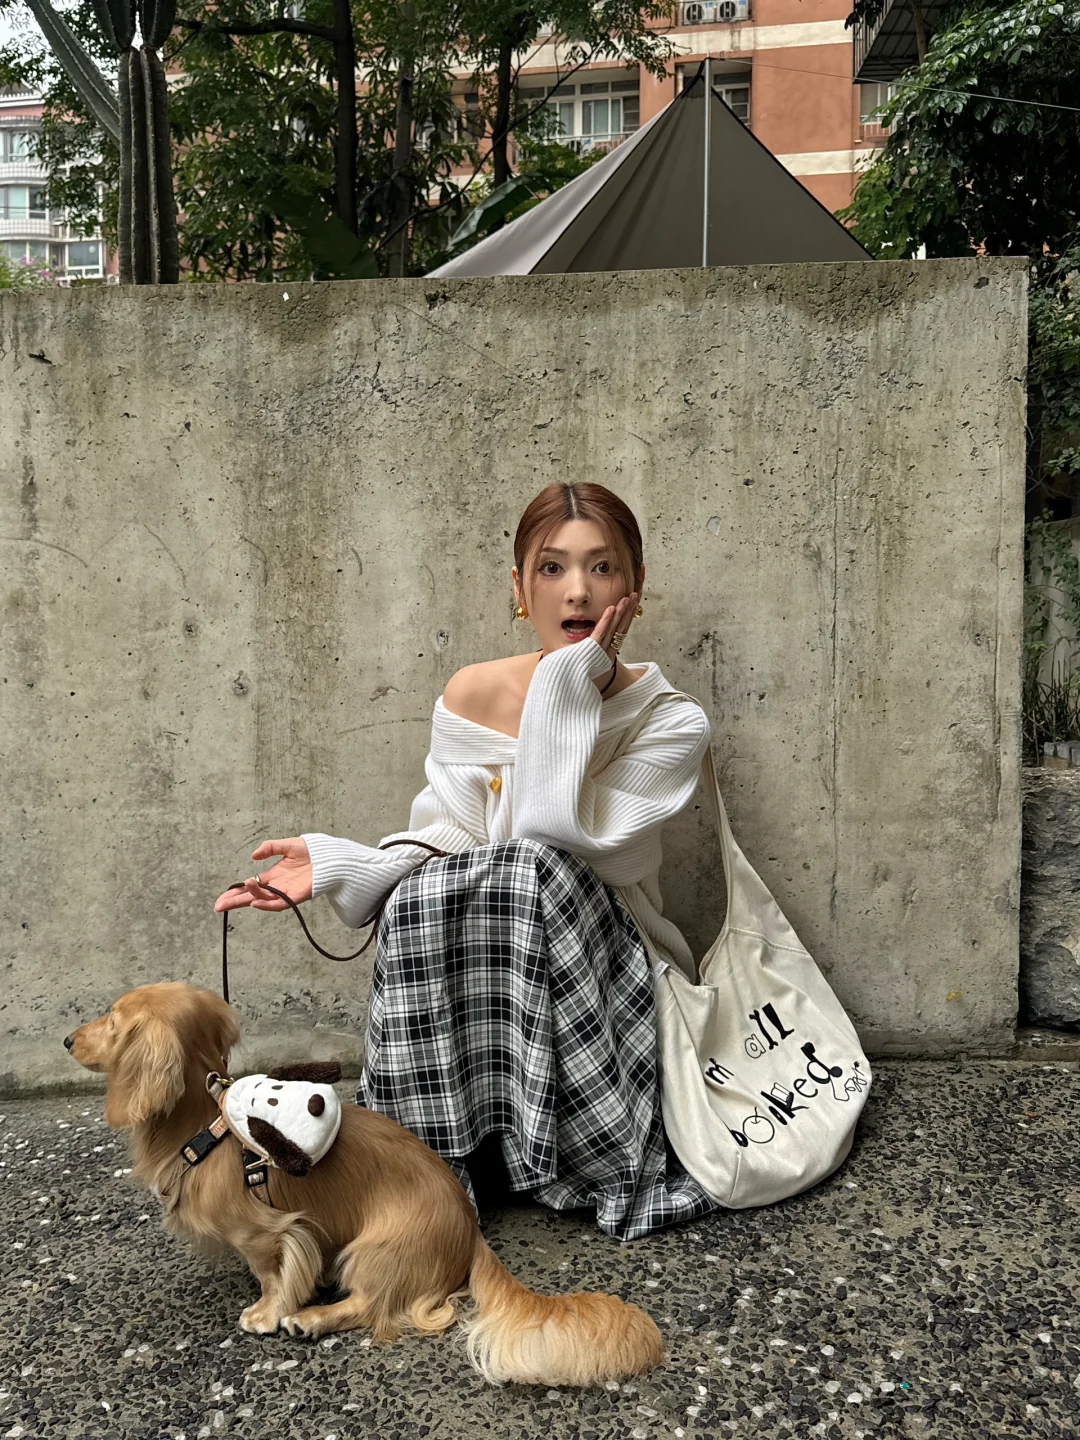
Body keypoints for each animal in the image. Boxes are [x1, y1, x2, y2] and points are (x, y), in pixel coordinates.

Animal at [65, 981, 666, 1386]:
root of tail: (471, 1232)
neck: (205, 1126)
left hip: (374, 1251)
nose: (68, 1039)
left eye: (113, 1018)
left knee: (371, 1306)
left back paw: (311, 1320)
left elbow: (274, 1273)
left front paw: (266, 1311)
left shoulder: (271, 1231)